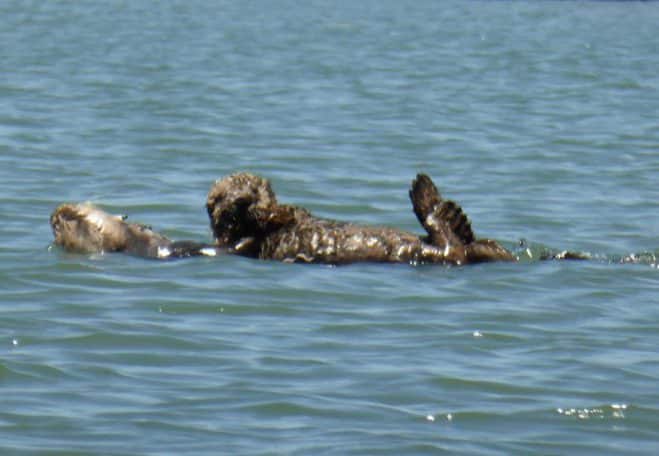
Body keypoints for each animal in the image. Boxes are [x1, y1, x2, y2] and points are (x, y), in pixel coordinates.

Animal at [206, 171, 516, 266]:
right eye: (225, 196)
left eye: (257, 186)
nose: (247, 197)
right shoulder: (242, 239)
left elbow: (293, 212)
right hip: (439, 253)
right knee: (447, 240)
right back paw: (425, 193)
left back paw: (457, 217)